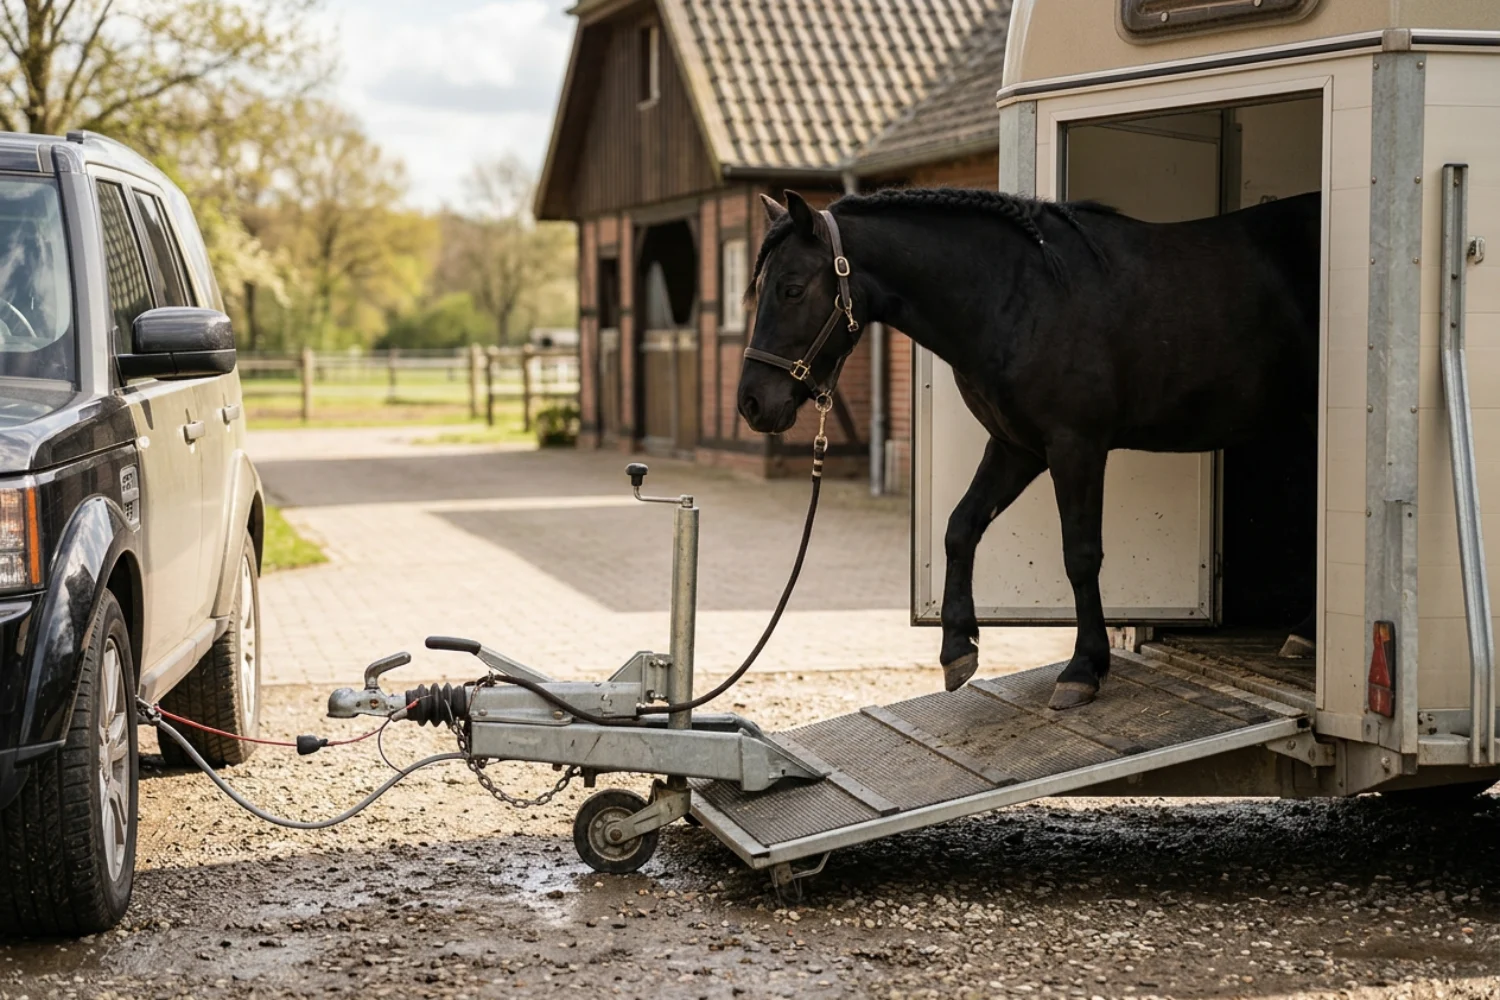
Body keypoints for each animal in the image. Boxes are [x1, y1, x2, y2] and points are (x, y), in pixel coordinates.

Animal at [737, 187, 1320, 710]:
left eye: (792, 289)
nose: (751, 403)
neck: (1023, 296)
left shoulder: (1075, 446)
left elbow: (1080, 554)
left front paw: (1084, 669)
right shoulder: (1016, 447)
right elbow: (960, 527)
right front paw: (958, 649)